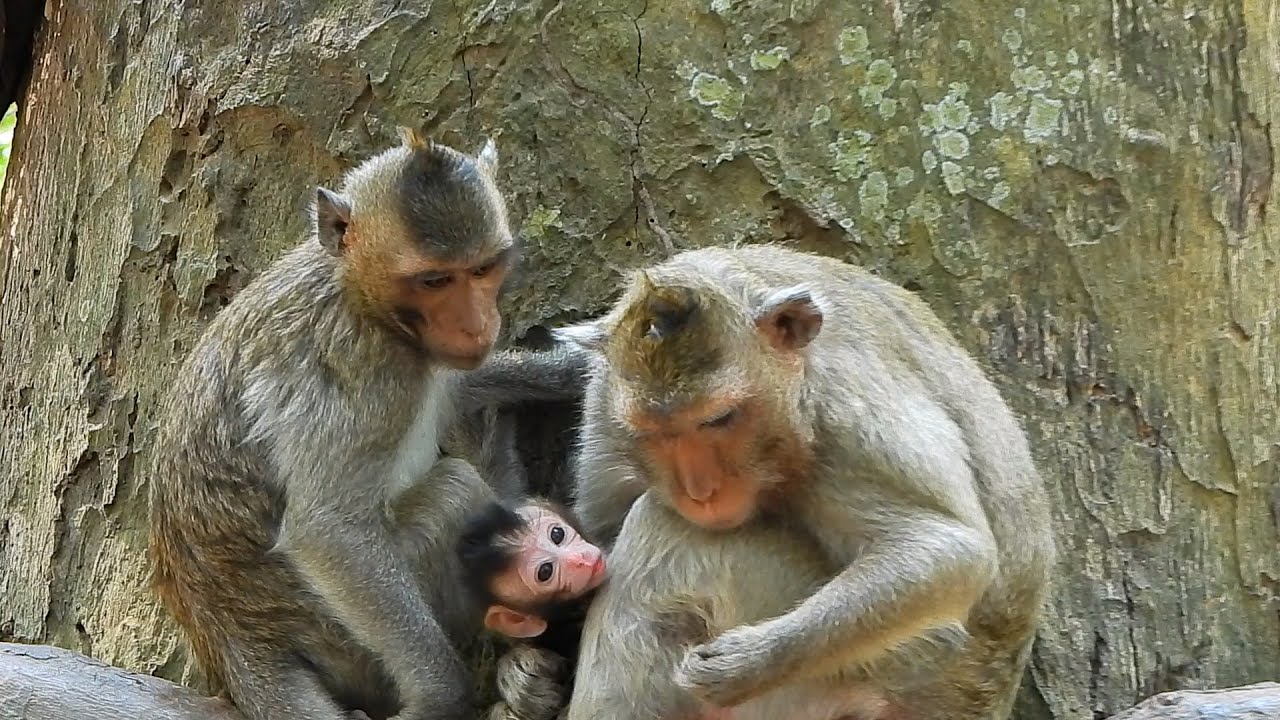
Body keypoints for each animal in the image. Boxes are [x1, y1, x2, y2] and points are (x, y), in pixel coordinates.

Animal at [148, 129, 589, 720]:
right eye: (434, 280)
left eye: (481, 270)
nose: (476, 325)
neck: (360, 294)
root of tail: (227, 632)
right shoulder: (366, 373)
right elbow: (327, 529)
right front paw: (440, 694)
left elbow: (459, 387)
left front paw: (565, 371)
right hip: (336, 634)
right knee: (453, 491)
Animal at [549, 244, 1055, 719]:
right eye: (653, 433)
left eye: (718, 420)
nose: (701, 492)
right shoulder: (602, 400)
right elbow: (600, 529)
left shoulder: (844, 414)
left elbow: (949, 547)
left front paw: (750, 662)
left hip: (892, 663)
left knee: (663, 529)